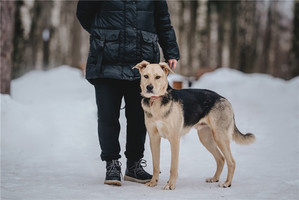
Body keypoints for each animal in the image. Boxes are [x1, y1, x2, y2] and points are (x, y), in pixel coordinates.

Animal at [135, 61, 256, 191]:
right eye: (146, 76)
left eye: (158, 77)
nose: (149, 87)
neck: (156, 101)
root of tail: (224, 99)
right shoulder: (154, 138)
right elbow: (156, 165)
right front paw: (153, 182)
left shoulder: (174, 139)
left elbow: (173, 167)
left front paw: (170, 184)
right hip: (206, 138)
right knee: (220, 159)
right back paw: (214, 178)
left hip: (220, 137)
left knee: (231, 161)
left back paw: (227, 183)